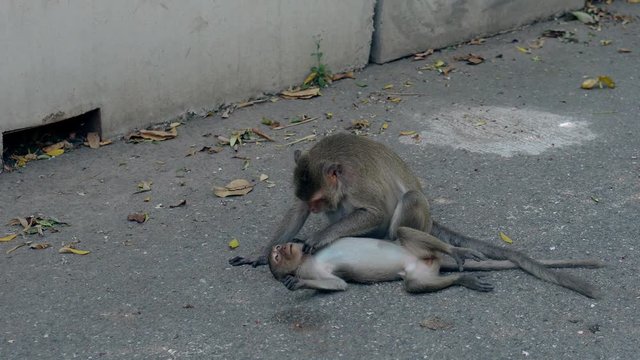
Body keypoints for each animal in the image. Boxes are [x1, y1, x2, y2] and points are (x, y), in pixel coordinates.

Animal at [232, 132, 604, 298]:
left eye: (319, 201)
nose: (317, 210)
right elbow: (294, 210)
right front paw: (260, 254)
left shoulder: (357, 184)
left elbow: (376, 211)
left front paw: (320, 237)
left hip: (414, 218)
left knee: (406, 203)